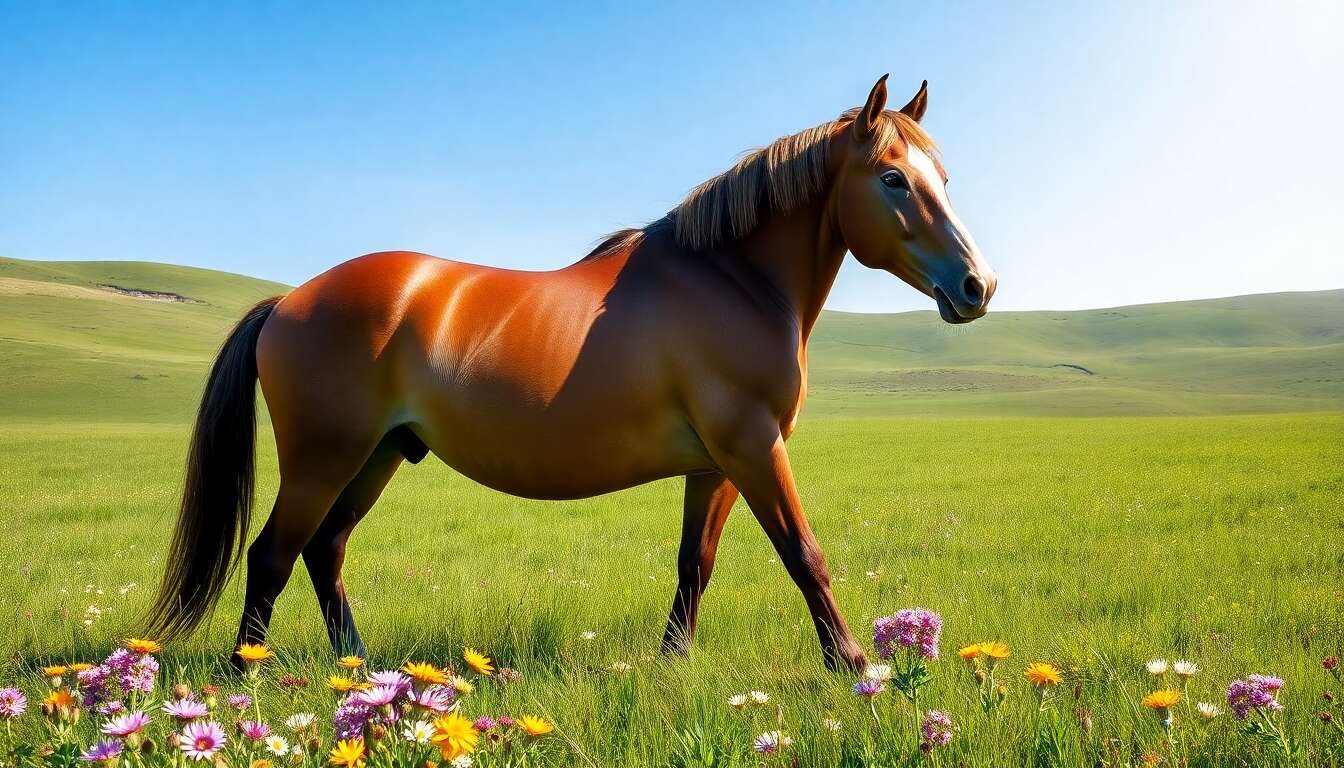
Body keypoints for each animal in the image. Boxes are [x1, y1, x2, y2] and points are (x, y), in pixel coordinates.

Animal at [148, 75, 996, 671]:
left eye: (945, 178)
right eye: (893, 178)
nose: (978, 286)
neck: (732, 279)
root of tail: (288, 300)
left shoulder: (714, 466)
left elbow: (695, 564)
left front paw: (673, 661)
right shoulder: (755, 448)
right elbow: (804, 554)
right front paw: (850, 663)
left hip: (378, 456)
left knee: (324, 553)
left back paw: (356, 668)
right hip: (323, 459)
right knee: (272, 556)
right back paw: (247, 672)